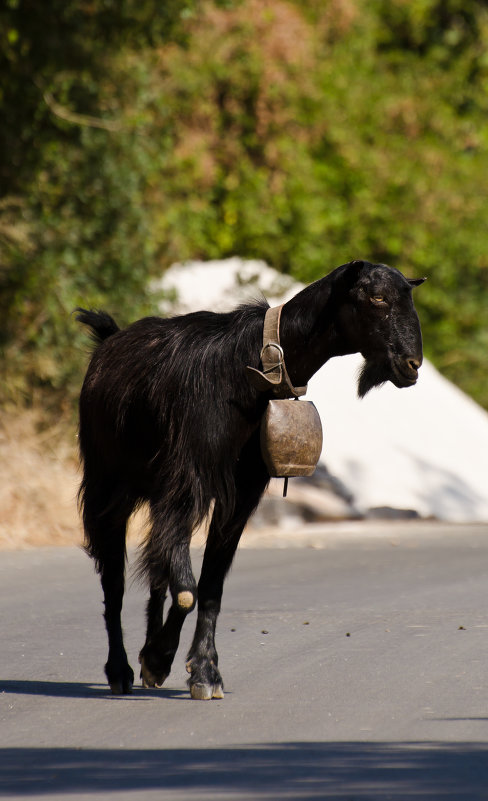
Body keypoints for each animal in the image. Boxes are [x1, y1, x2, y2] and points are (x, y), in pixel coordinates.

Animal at [75, 260, 424, 696]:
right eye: (376, 297)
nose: (412, 365)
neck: (247, 369)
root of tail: (108, 341)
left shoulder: (238, 493)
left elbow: (209, 587)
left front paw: (201, 671)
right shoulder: (188, 481)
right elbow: (187, 590)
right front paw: (160, 659)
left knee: (157, 564)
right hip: (107, 483)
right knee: (115, 581)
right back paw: (120, 670)